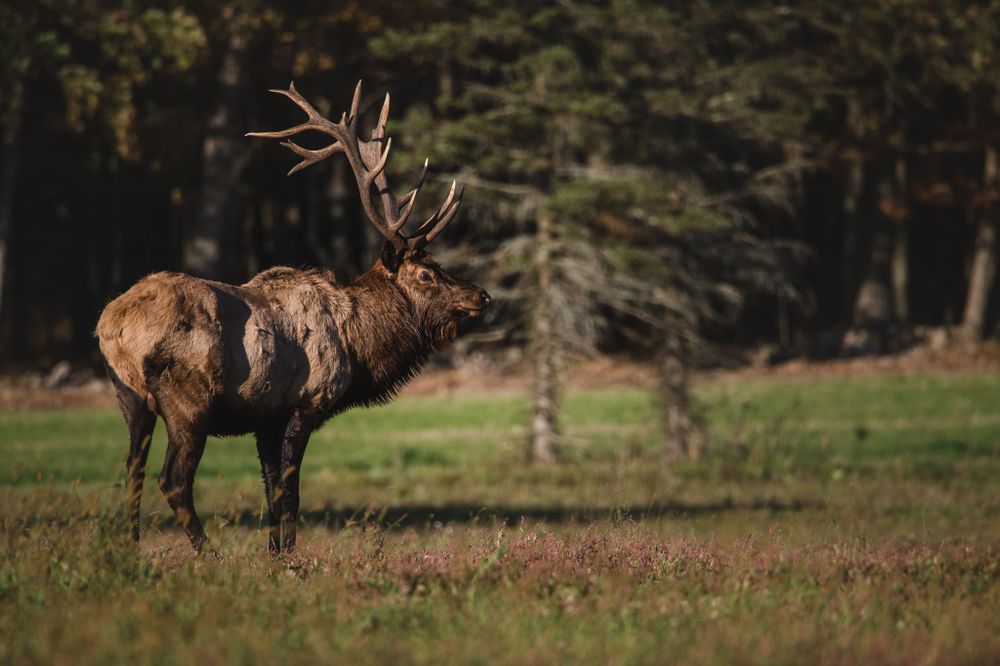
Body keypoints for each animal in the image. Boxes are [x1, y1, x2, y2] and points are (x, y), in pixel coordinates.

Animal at [96, 81, 491, 556]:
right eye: (426, 274)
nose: (482, 296)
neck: (358, 347)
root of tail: (113, 327)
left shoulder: (265, 418)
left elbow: (270, 489)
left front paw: (274, 554)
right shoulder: (305, 402)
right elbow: (290, 491)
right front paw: (289, 557)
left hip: (130, 398)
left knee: (131, 472)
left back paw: (128, 552)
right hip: (188, 400)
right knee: (173, 480)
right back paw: (208, 552)